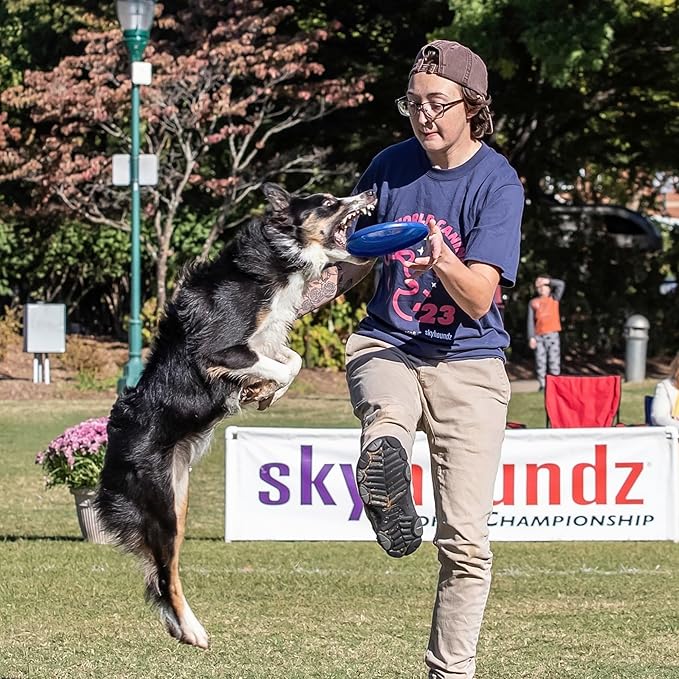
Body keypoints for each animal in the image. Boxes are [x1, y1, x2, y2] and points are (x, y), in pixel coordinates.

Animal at [94, 183, 378, 652]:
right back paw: (193, 631)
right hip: (163, 507)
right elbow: (282, 366)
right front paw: (261, 391)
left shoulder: (267, 340)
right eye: (328, 203)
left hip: (179, 499)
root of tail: (112, 447)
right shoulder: (220, 351)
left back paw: (180, 627)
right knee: (165, 575)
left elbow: (293, 360)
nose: (371, 191)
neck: (278, 259)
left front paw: (263, 392)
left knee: (160, 573)